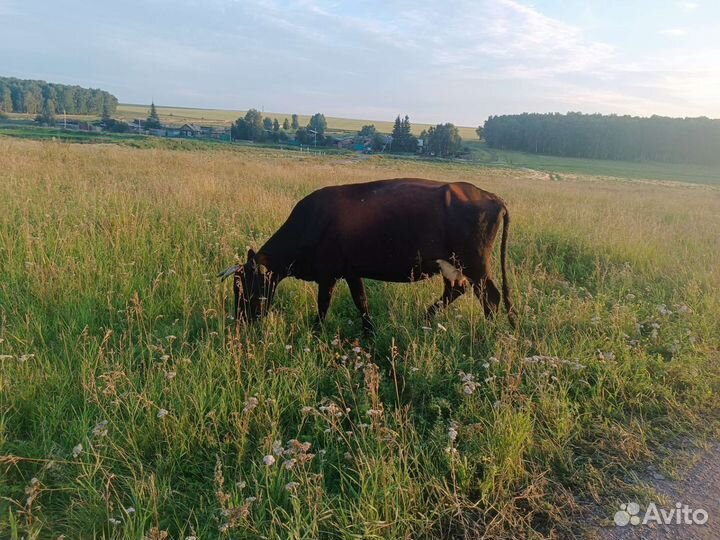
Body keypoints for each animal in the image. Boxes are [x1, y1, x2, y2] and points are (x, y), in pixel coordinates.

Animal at [219, 178, 515, 333]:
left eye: (243, 287)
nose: (241, 323)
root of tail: (493, 197)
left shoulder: (328, 274)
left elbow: (324, 305)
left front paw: (316, 332)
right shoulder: (351, 271)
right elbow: (361, 302)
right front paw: (370, 332)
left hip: (475, 264)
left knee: (490, 297)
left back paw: (486, 332)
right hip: (451, 265)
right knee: (456, 290)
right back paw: (424, 318)